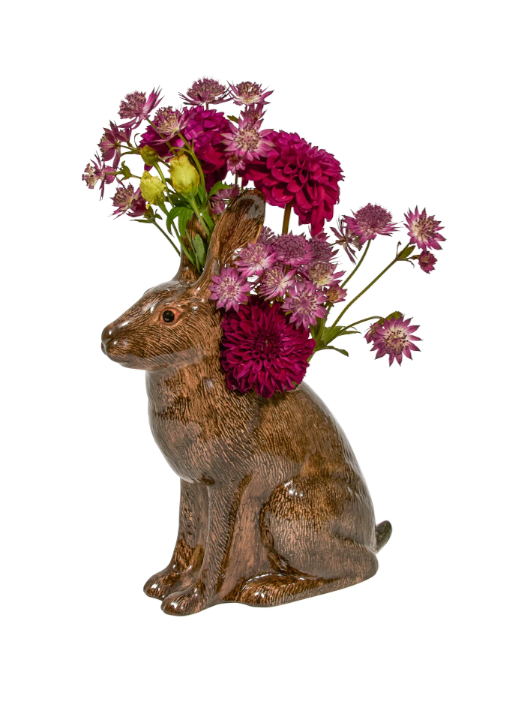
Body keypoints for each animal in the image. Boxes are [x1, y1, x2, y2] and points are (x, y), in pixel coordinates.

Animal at [101, 189, 392, 616]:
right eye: (142, 296)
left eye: (168, 316)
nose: (107, 339)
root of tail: (371, 535)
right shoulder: (192, 485)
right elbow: (187, 538)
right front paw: (164, 583)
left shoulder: (229, 484)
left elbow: (218, 548)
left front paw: (189, 600)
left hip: (289, 509)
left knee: (360, 567)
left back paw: (265, 589)